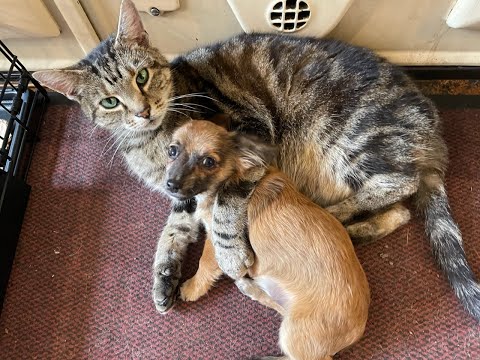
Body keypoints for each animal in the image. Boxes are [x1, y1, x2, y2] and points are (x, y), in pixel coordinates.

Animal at [33, 0, 480, 320]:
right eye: (110, 102)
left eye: (142, 76)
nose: (143, 110)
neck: (149, 142)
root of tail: (433, 132)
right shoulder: (181, 189)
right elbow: (173, 230)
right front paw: (164, 275)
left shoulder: (249, 139)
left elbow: (227, 201)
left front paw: (228, 250)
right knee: (399, 212)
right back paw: (352, 228)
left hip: (349, 136)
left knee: (398, 184)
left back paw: (332, 211)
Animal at [163, 121, 370, 360]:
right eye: (172, 151)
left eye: (208, 162)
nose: (170, 184)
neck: (233, 179)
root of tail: (355, 333)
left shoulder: (218, 241)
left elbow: (204, 264)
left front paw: (193, 287)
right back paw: (249, 288)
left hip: (294, 332)